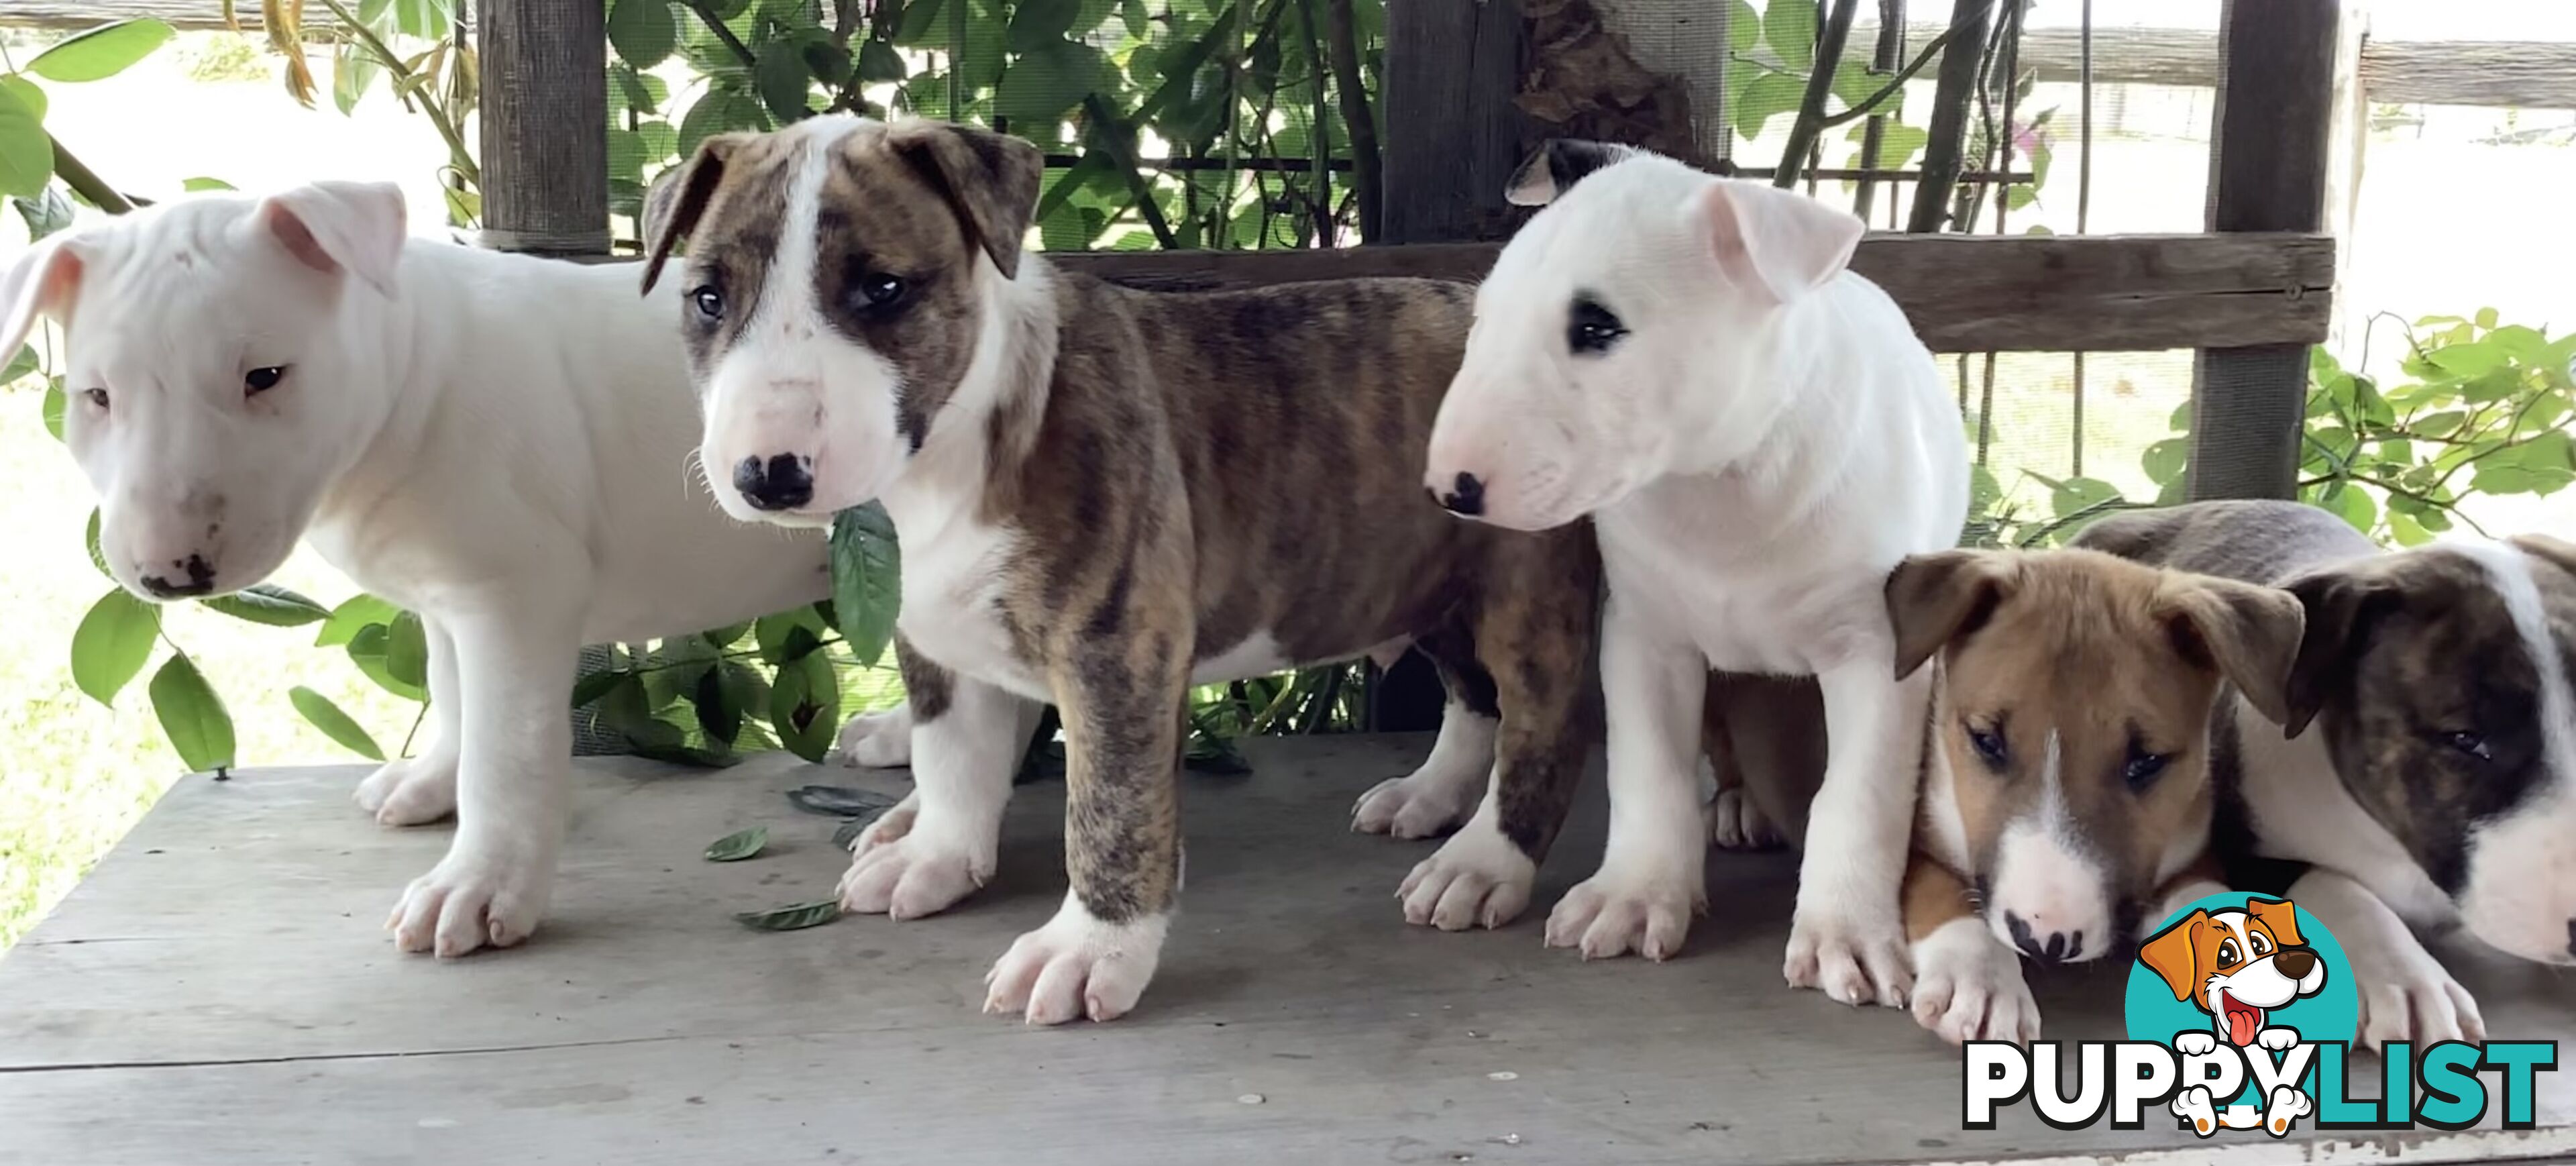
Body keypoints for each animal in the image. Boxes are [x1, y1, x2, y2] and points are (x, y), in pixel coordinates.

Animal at [641, 118, 1597, 1024]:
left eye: (883, 289)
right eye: (709, 299)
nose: (769, 472)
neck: (955, 452)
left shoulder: (1117, 651)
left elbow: (1110, 808)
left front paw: (1087, 950)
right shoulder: (939, 638)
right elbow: (952, 758)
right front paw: (938, 856)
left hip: (1526, 586)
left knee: (1541, 725)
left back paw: (1485, 862)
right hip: (1431, 575)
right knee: (1473, 694)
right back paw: (1430, 794)